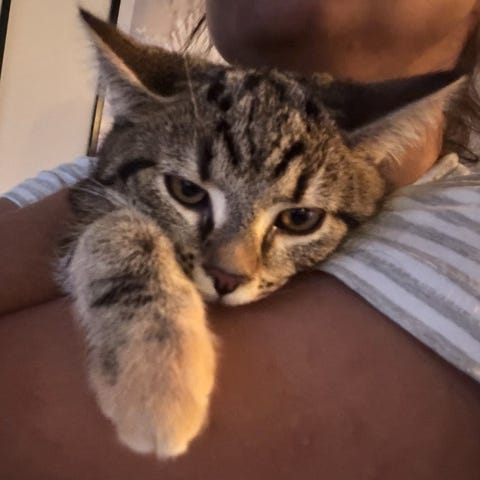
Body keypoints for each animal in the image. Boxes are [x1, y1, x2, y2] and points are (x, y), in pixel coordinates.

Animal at [59, 9, 465, 459]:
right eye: (187, 191)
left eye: (300, 218)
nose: (226, 278)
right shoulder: (87, 198)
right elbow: (118, 227)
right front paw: (157, 373)